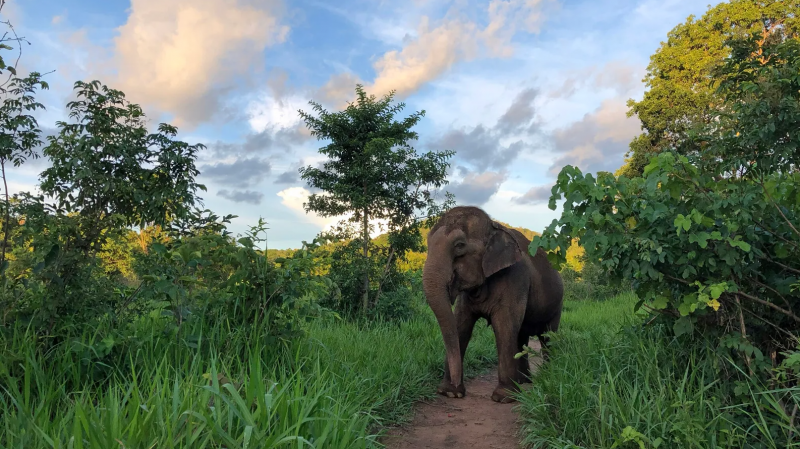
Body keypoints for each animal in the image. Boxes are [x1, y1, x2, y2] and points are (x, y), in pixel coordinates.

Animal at [422, 206, 564, 402]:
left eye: (459, 245)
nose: (457, 384)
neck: (494, 226)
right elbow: (460, 326)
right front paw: (450, 392)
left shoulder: (515, 278)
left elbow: (504, 326)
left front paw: (503, 398)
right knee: (522, 336)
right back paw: (524, 381)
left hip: (558, 305)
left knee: (548, 336)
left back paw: (544, 376)